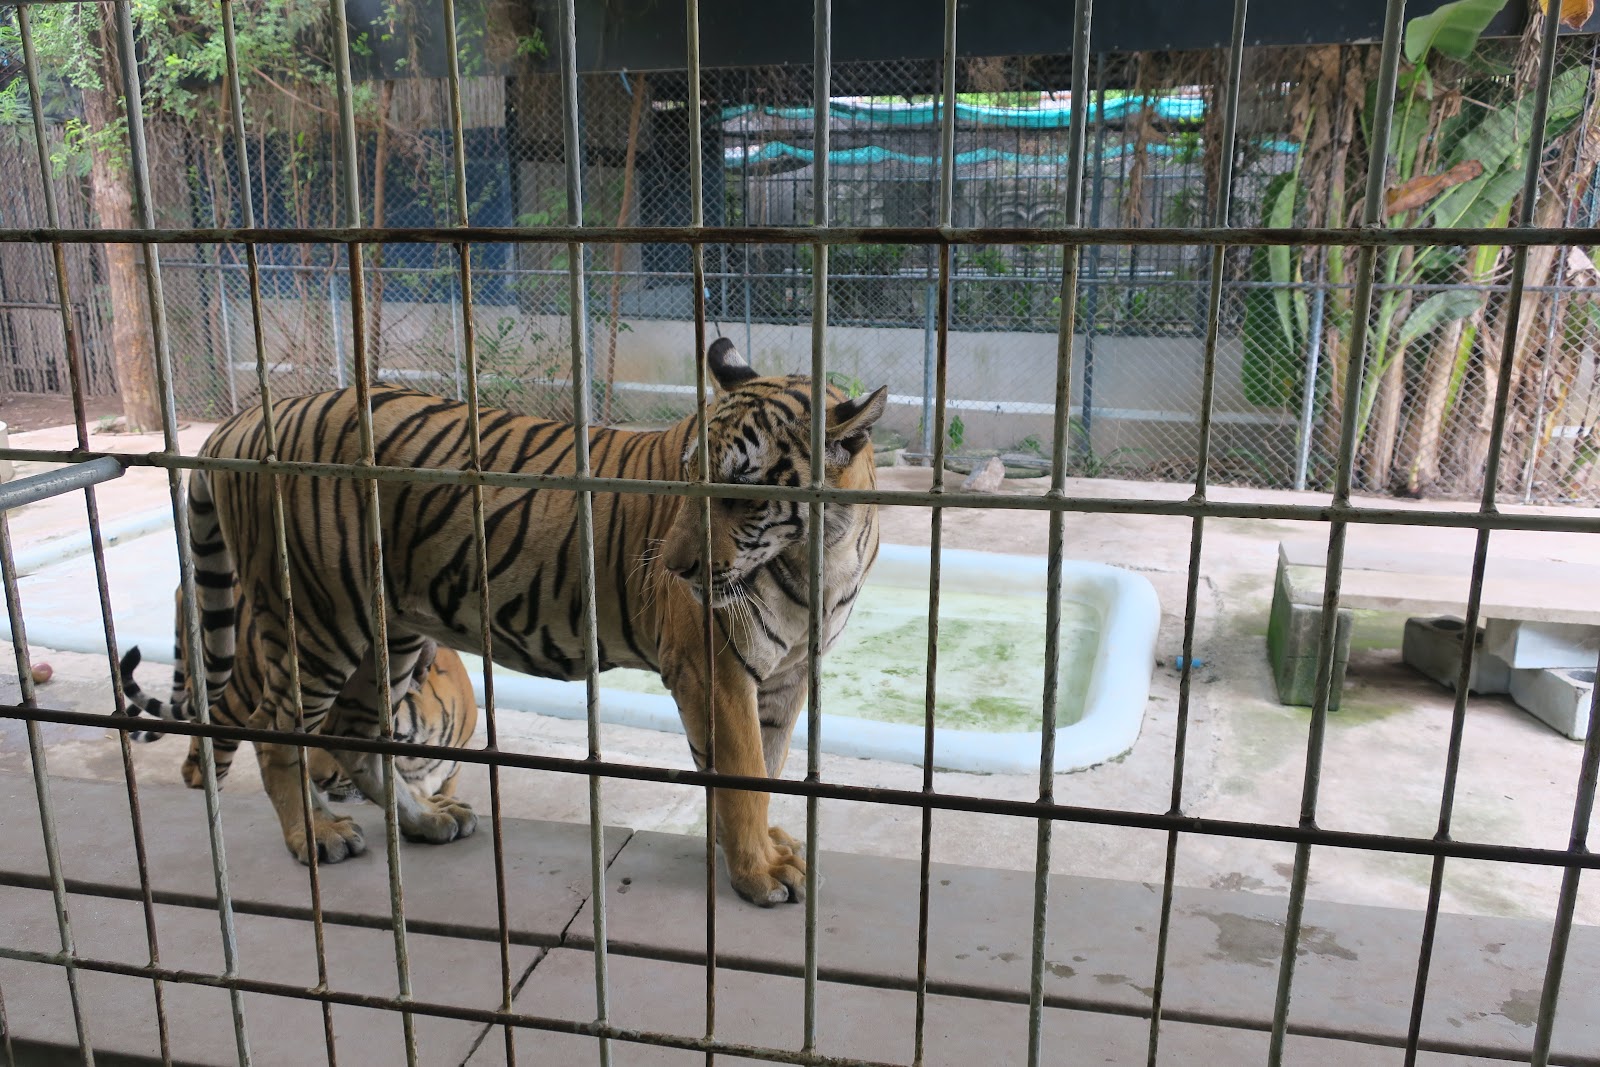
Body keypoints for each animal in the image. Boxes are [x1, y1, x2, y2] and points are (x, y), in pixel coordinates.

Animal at [180, 338, 885, 905]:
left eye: (740, 492)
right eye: (687, 477)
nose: (674, 568)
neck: (820, 555)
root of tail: (242, 418)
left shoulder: (785, 673)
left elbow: (765, 764)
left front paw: (764, 847)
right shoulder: (713, 667)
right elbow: (741, 774)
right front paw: (758, 873)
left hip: (391, 632)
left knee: (355, 733)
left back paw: (426, 821)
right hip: (318, 617)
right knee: (275, 728)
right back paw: (318, 834)